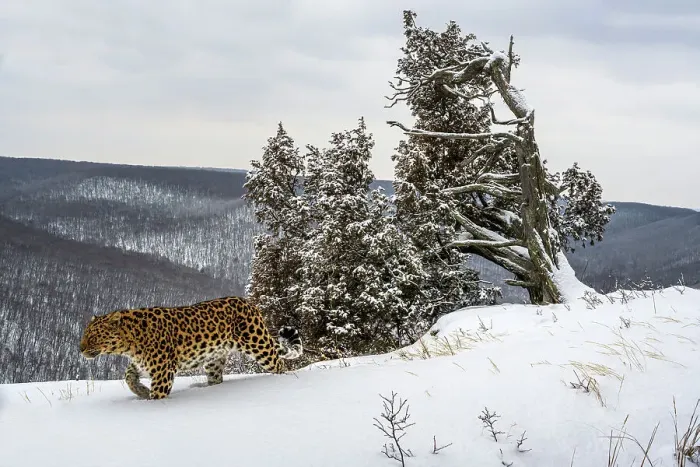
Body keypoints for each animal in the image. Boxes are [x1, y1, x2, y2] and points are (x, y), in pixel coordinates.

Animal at [79, 296, 302, 400]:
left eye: (93, 336)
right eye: (84, 334)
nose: (79, 349)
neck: (129, 344)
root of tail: (249, 303)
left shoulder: (162, 371)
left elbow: (157, 394)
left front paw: (150, 401)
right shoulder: (142, 364)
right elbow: (128, 376)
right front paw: (141, 391)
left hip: (259, 345)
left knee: (280, 365)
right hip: (214, 360)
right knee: (216, 379)